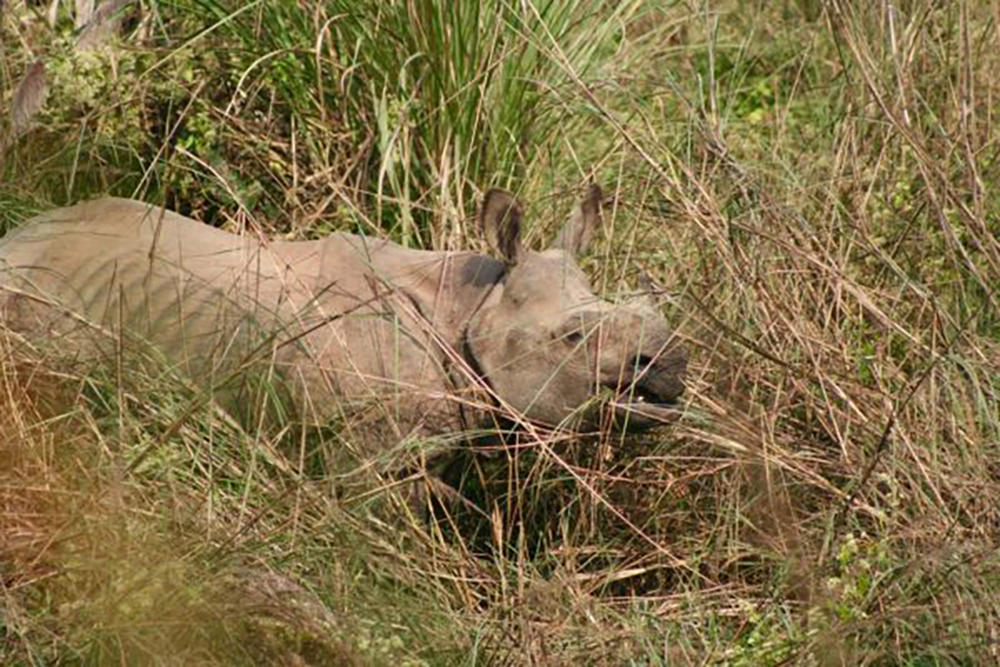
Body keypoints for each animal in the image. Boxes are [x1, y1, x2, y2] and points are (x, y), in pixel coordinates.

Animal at [0, 186, 686, 496]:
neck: (471, 304)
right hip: (43, 296)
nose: (672, 371)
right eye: (572, 336)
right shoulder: (366, 450)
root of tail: (18, 237)